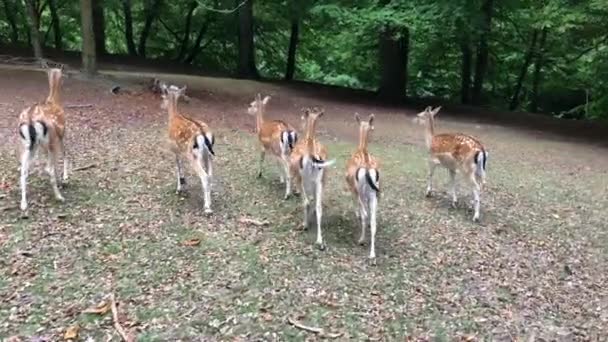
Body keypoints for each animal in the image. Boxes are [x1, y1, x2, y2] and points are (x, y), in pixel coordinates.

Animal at [17, 67, 69, 211]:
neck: (53, 100)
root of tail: (29, 119)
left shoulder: (42, 145)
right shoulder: (60, 135)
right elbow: (65, 155)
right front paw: (65, 178)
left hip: (27, 144)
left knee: (23, 169)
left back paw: (23, 204)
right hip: (50, 141)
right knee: (49, 168)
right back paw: (59, 196)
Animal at [162, 83, 216, 214]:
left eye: (162, 96)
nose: (161, 105)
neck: (173, 117)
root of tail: (204, 134)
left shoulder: (174, 148)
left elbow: (178, 166)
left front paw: (179, 188)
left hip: (194, 155)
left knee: (204, 176)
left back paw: (207, 208)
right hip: (208, 155)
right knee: (210, 175)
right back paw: (209, 202)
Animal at [288, 108, 334, 250]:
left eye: (303, 117)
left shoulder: (299, 178)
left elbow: (306, 200)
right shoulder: (316, 182)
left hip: (303, 179)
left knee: (307, 201)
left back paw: (304, 225)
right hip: (321, 179)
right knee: (318, 206)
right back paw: (319, 241)